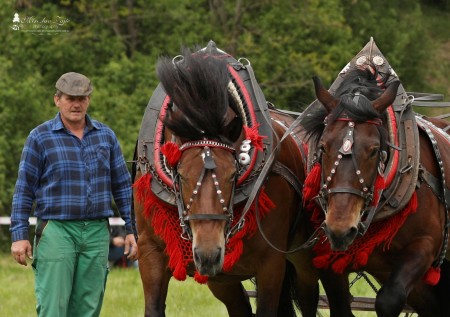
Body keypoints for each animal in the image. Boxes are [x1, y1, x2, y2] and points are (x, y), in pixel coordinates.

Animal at [132, 45, 328, 316]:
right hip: (223, 279)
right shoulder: (150, 253)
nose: (208, 255)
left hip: (303, 257)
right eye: (181, 175)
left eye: (233, 174)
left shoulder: (271, 264)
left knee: (308, 294)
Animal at [300, 65, 450, 316]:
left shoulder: (425, 245)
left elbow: (388, 300)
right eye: (323, 146)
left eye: (373, 150)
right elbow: (339, 304)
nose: (341, 229)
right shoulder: (330, 256)